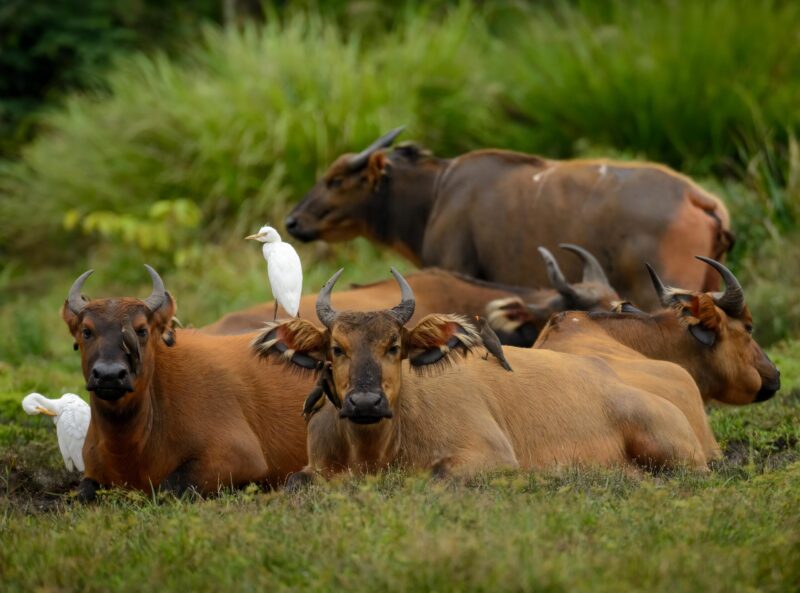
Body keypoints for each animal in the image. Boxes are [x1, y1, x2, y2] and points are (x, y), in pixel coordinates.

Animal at [61, 265, 312, 501]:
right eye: (86, 331)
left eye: (142, 330)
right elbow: (82, 493)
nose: (109, 375)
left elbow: (167, 488)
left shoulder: (240, 456)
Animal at [252, 268, 713, 483]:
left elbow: (438, 475)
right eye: (336, 348)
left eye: (394, 346)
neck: (375, 450)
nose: (365, 403)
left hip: (675, 452)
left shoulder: (490, 458)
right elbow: (294, 482)